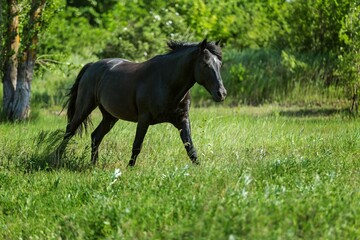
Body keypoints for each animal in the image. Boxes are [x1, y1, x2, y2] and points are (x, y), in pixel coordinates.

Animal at [59, 39, 228, 167]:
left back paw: (94, 165)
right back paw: (57, 159)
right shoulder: (144, 119)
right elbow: (137, 146)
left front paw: (199, 168)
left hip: (110, 117)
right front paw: (129, 168)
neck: (166, 81)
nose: (222, 93)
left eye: (219, 64)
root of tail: (92, 66)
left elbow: (190, 147)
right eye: (205, 64)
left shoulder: (182, 119)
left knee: (95, 136)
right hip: (84, 107)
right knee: (69, 131)